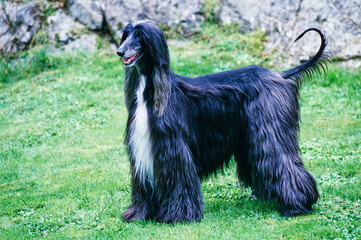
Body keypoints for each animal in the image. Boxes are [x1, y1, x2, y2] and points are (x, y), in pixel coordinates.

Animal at [116, 20, 330, 223]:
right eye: (126, 35)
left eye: (139, 35)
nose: (119, 51)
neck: (152, 91)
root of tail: (279, 74)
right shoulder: (143, 150)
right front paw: (139, 214)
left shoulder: (173, 148)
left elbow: (180, 181)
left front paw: (180, 215)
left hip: (270, 131)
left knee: (284, 162)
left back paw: (296, 206)